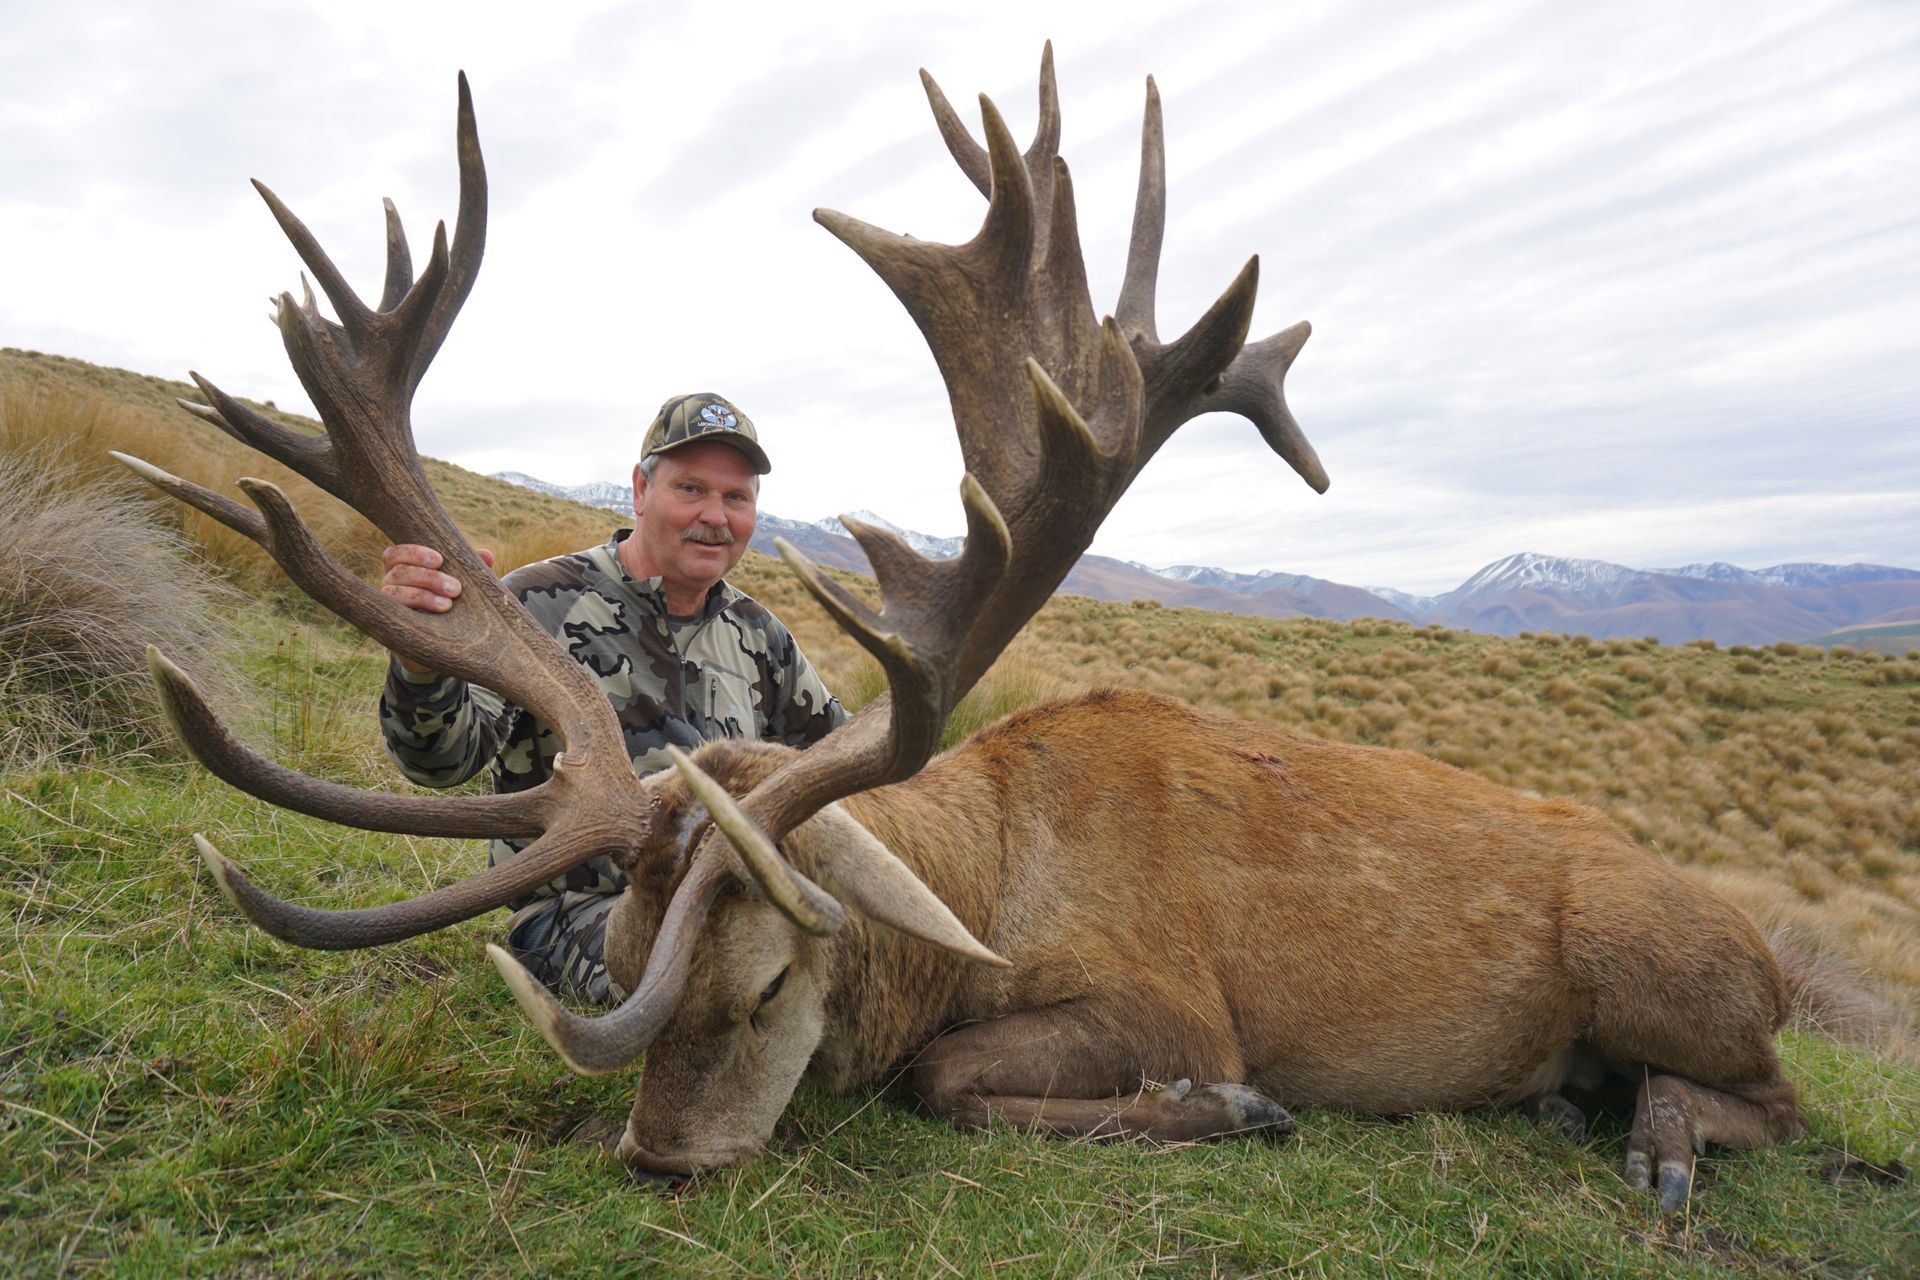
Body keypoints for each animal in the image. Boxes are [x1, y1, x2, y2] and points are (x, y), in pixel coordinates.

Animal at [115, 48, 1803, 1217]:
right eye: (627, 953)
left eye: (775, 981)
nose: (662, 1157)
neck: (984, 877)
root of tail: (1776, 956)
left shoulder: (1174, 997)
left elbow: (952, 1078)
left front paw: (1231, 1111)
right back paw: (1582, 1106)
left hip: (1662, 964)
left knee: (1779, 1098)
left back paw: (1653, 1138)